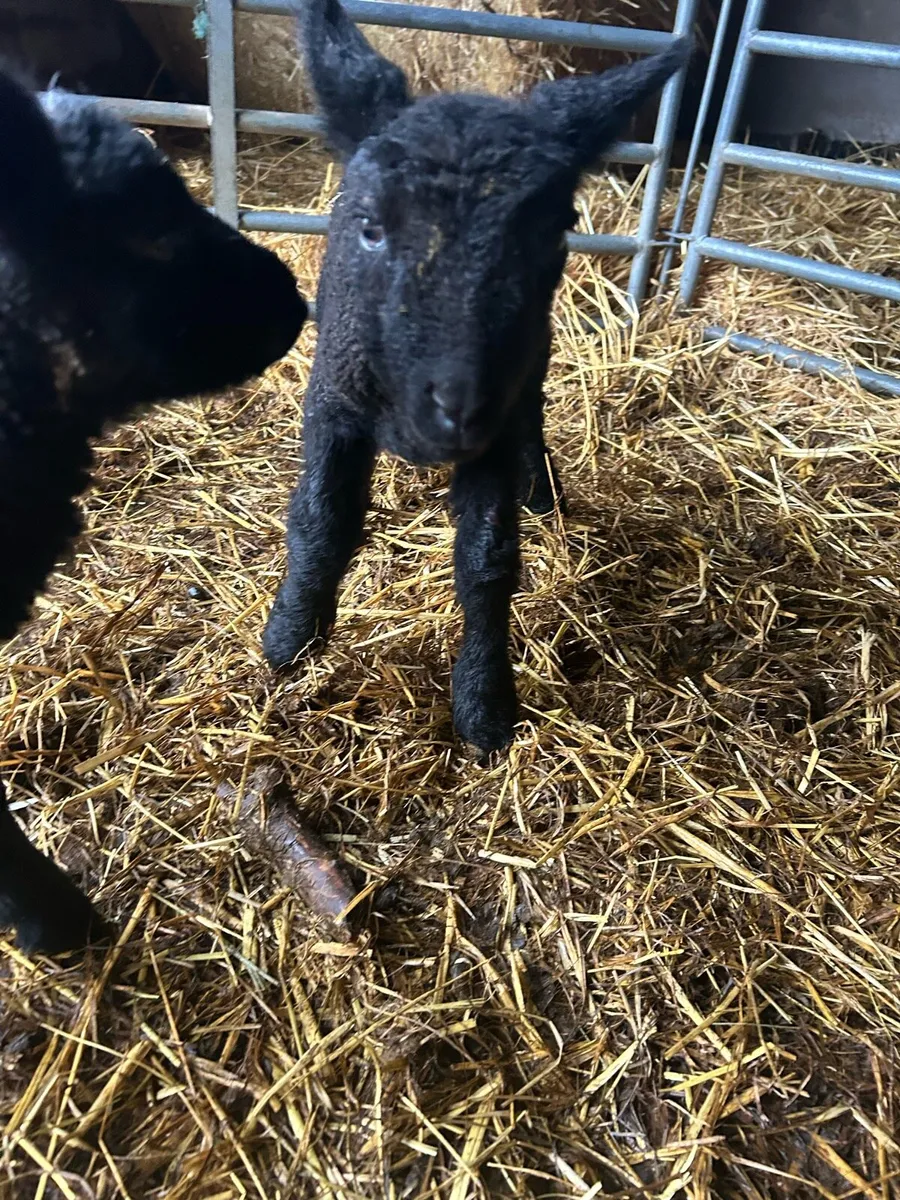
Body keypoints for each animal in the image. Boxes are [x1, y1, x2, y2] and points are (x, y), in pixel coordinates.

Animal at [263, 0, 688, 752]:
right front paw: (291, 637)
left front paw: (485, 704)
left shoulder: (495, 425)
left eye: (556, 230)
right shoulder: (334, 399)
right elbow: (321, 519)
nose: (458, 408)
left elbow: (488, 561)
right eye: (370, 226)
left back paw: (543, 492)